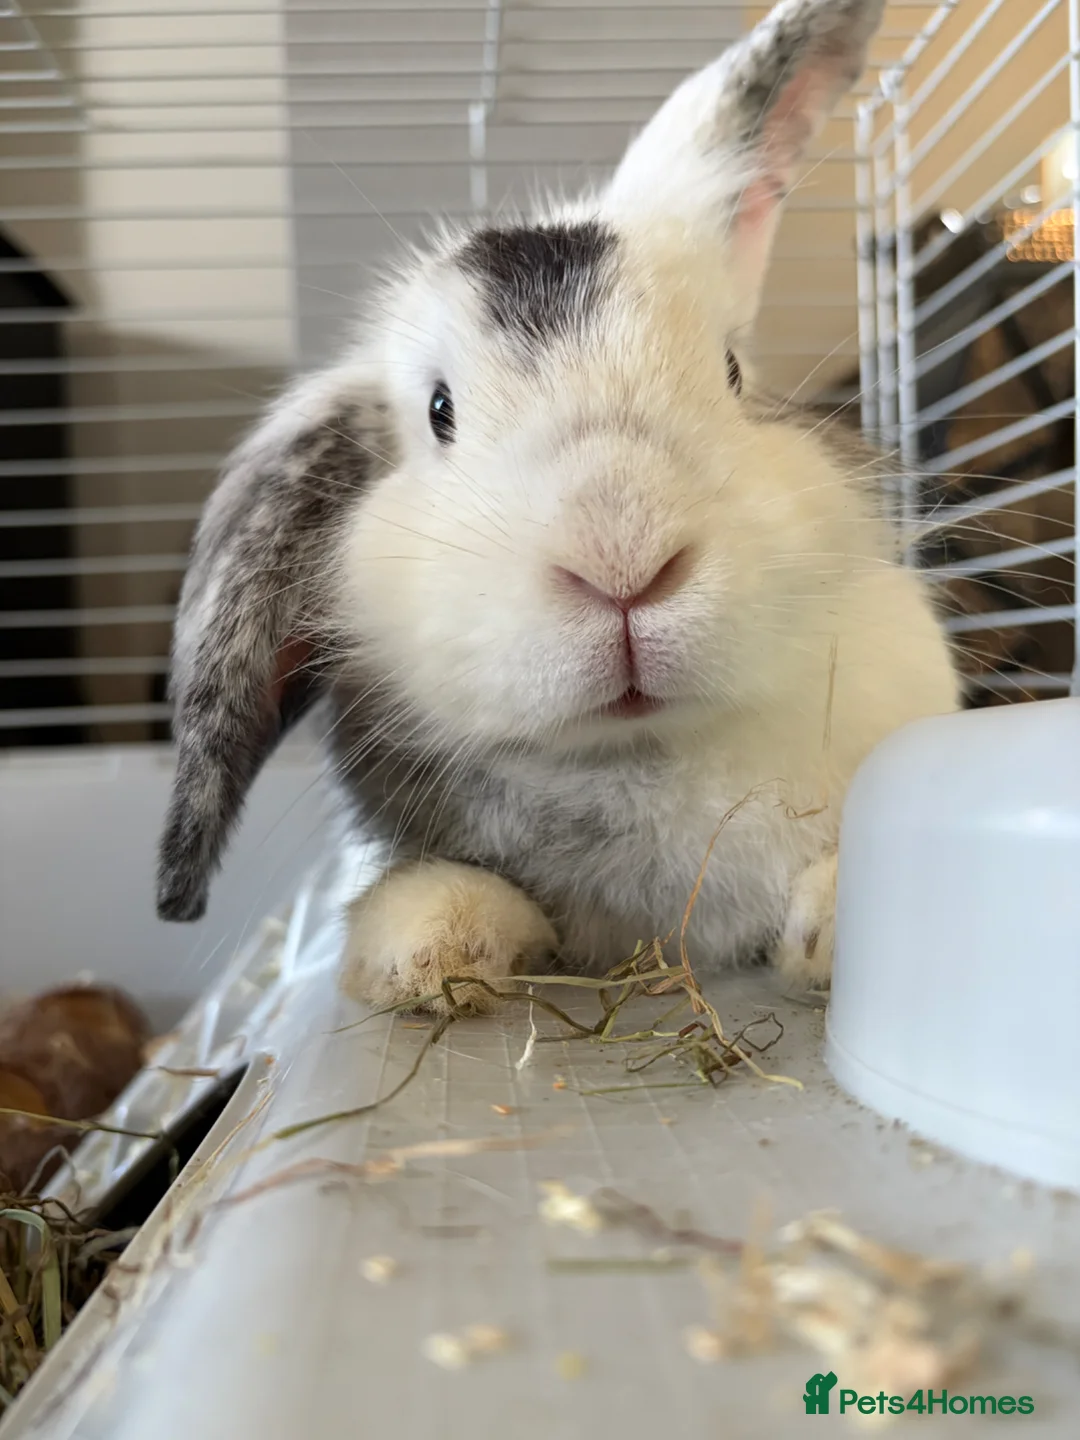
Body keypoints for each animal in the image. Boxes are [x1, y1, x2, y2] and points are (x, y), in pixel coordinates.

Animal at [155, 0, 959, 1015]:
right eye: (440, 412)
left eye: (734, 371)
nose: (625, 564)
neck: (643, 754)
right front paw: (430, 947)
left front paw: (833, 929)